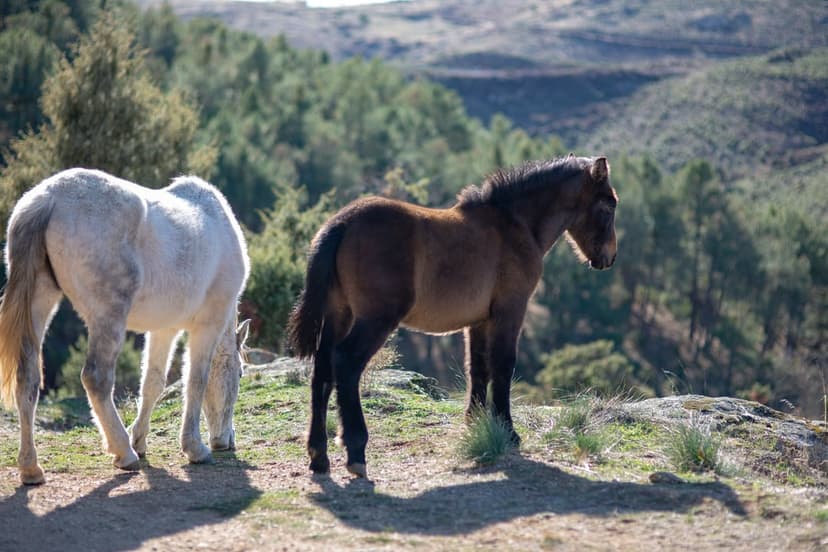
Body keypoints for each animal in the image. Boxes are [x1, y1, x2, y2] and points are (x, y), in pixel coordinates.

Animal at [0, 168, 250, 485]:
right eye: (240, 374)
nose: (225, 440)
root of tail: (48, 199)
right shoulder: (208, 325)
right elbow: (196, 380)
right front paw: (194, 448)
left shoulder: (164, 329)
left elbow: (153, 382)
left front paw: (140, 440)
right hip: (108, 317)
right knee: (96, 379)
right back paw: (124, 453)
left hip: (40, 301)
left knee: (28, 379)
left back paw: (31, 468)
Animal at [288, 154, 618, 478]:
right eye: (609, 205)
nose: (609, 257)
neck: (514, 224)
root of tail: (342, 223)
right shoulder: (510, 310)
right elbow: (503, 366)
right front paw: (508, 431)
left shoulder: (479, 321)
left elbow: (478, 368)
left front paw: (475, 422)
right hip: (375, 319)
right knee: (346, 363)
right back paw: (356, 451)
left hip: (338, 314)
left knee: (322, 370)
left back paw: (318, 455)